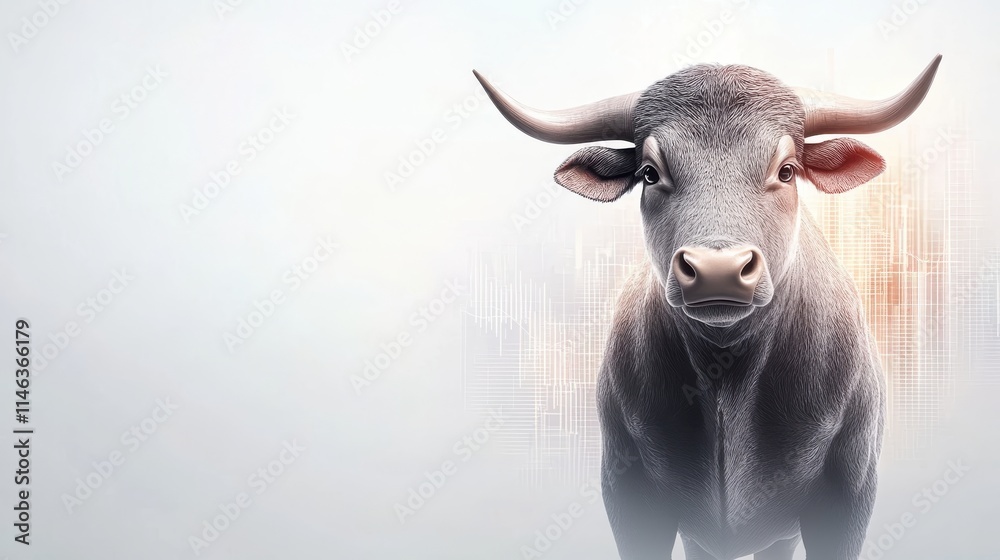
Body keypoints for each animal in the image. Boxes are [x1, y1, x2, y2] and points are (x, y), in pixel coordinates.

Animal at [473, 55, 941, 560]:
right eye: (650, 173)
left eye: (786, 171)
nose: (719, 269)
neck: (727, 376)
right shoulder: (627, 492)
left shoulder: (849, 487)